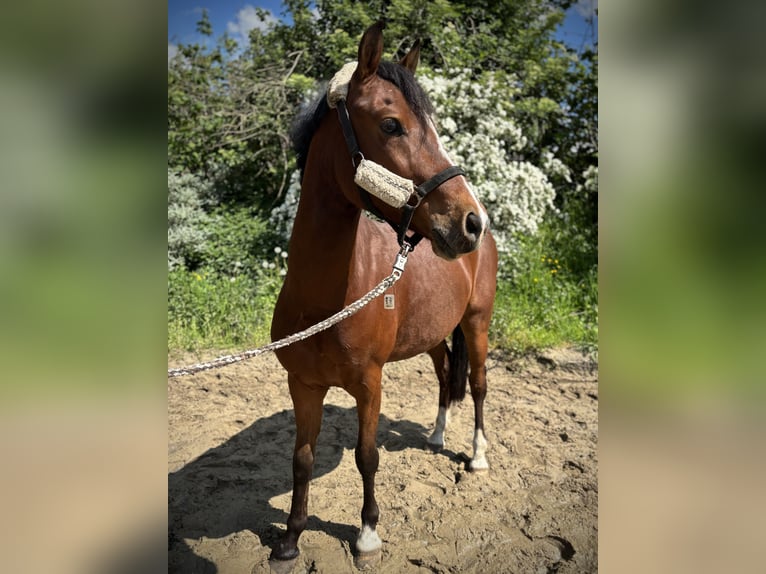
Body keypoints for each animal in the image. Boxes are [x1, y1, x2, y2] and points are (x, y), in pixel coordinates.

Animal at [270, 22, 498, 566]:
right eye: (392, 125)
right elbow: (302, 458)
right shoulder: (303, 385)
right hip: (436, 334)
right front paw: (290, 538)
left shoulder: (369, 384)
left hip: (477, 323)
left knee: (478, 385)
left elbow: (367, 456)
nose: (471, 222)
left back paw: (477, 456)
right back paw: (436, 436)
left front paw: (367, 535)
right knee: (445, 376)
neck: (327, 299)